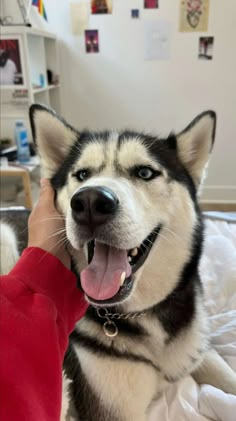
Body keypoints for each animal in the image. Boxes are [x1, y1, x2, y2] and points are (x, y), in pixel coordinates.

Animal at [29, 104, 236, 416]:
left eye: (145, 172)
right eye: (82, 174)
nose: (90, 202)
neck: (145, 315)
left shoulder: (198, 347)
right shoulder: (114, 409)